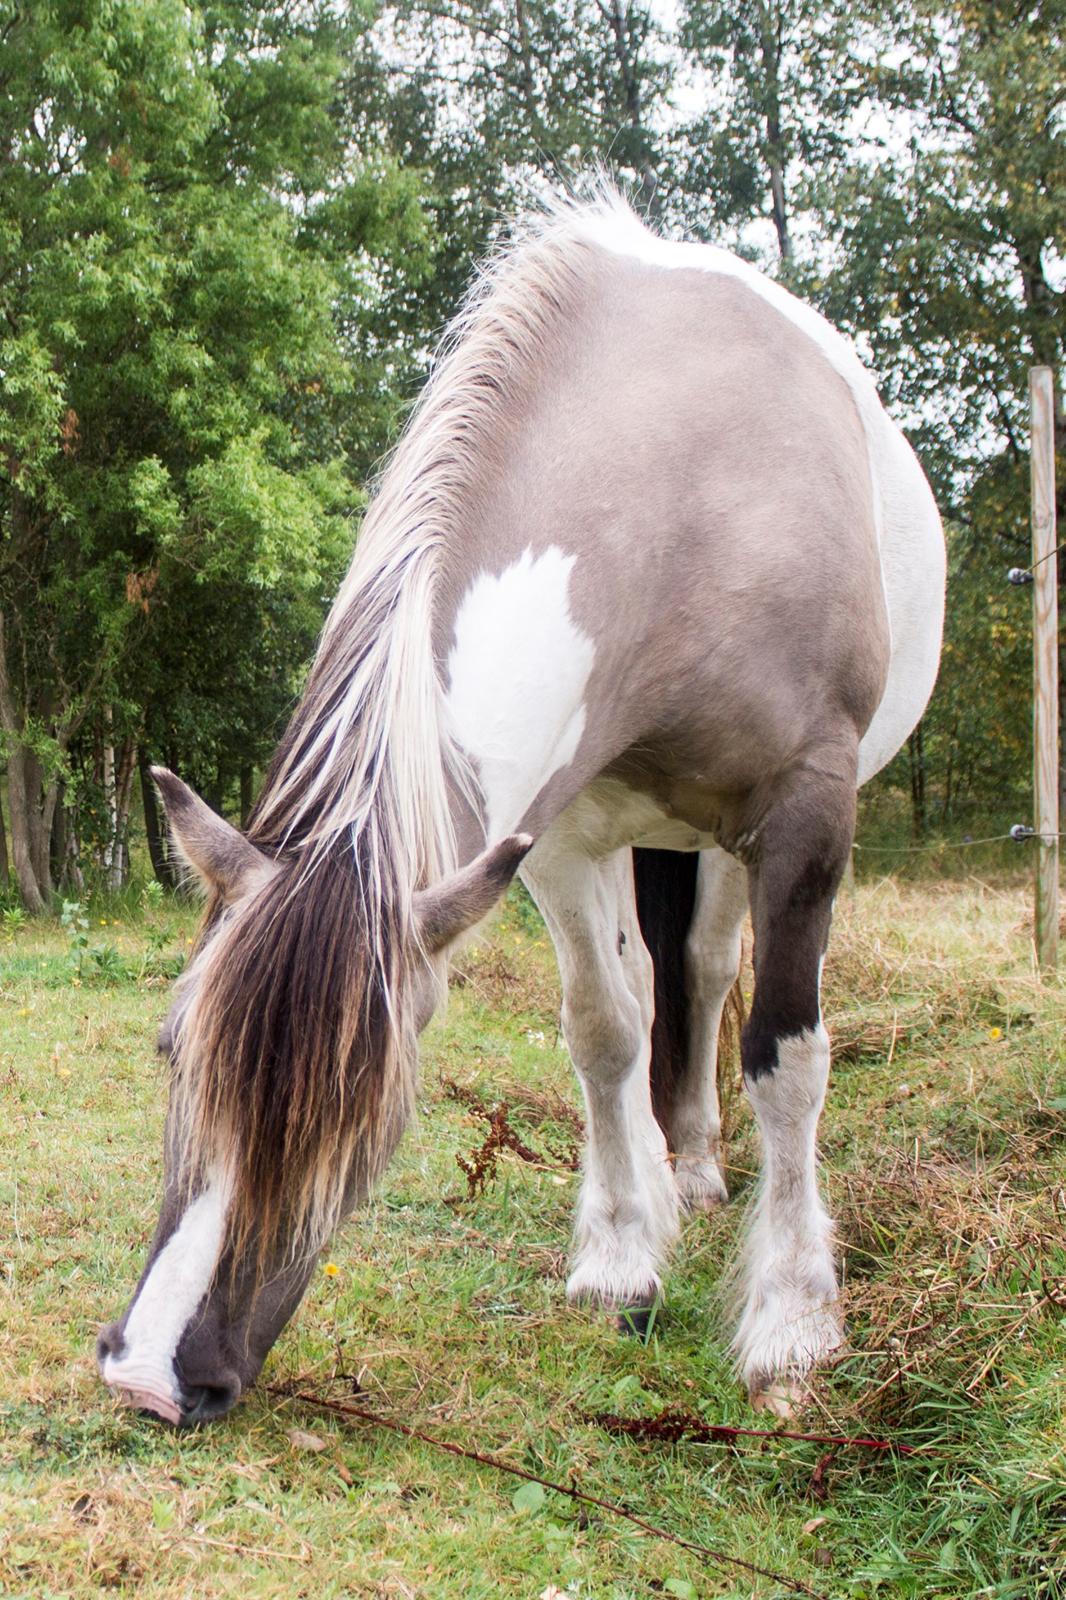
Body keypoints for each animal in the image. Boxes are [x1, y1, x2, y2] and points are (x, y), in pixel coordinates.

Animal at [97, 187, 941, 1427]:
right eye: (171, 1045)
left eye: (375, 1105)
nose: (151, 1376)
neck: (684, 481)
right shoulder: (556, 835)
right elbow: (602, 1030)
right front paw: (621, 1256)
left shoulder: (805, 813)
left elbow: (786, 1055)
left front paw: (791, 1326)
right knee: (649, 991)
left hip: (733, 846)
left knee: (705, 970)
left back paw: (700, 1167)